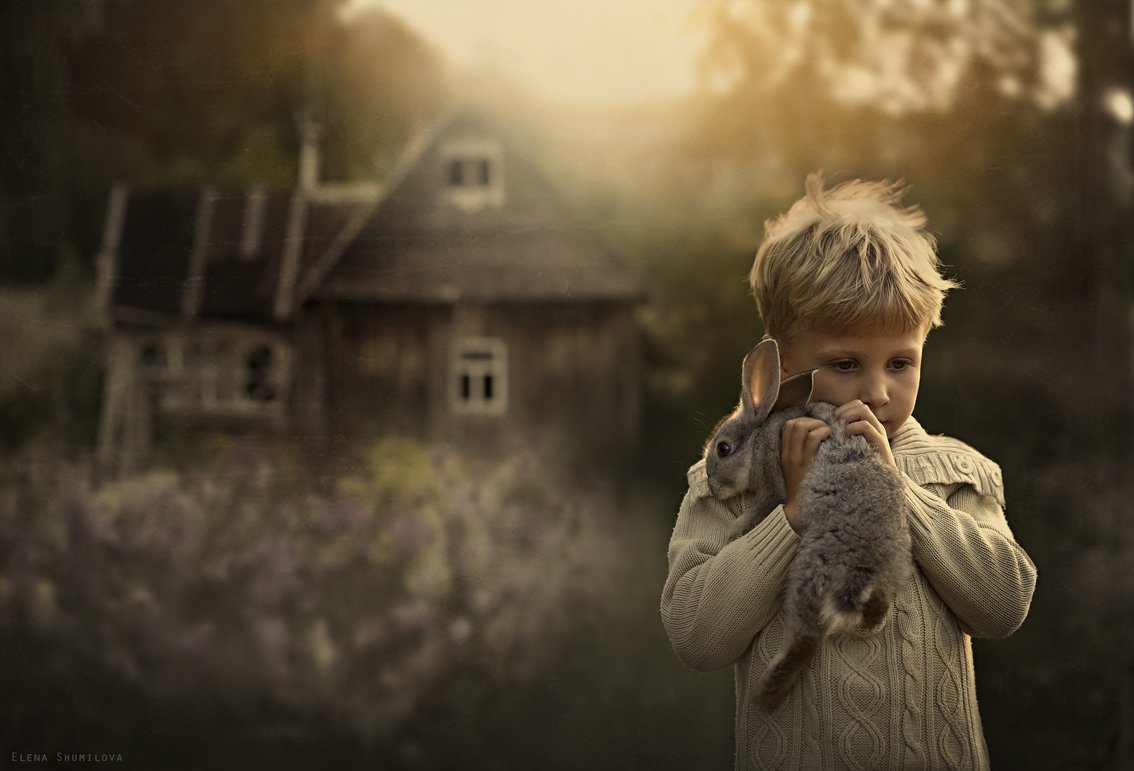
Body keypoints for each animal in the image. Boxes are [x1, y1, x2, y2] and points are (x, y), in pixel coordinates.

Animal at [703, 337, 907, 712]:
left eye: (723, 449)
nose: (712, 488)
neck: (760, 437)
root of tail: (865, 559)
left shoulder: (772, 480)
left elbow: (765, 505)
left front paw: (736, 531)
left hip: (810, 575)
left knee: (806, 639)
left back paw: (768, 691)